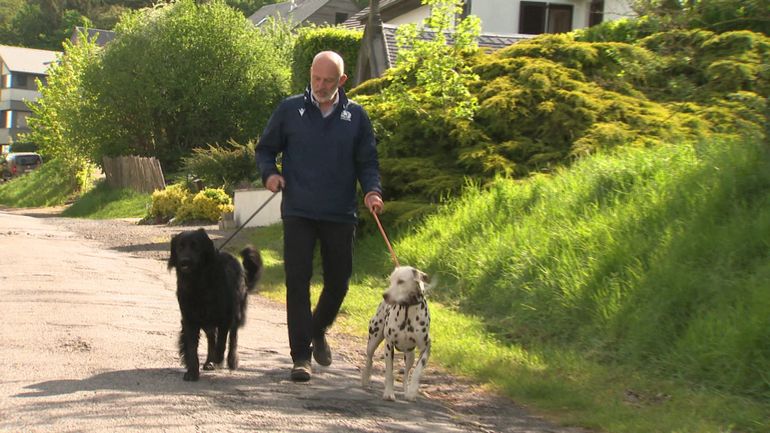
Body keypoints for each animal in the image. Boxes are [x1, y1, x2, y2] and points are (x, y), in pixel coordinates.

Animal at [166, 228, 262, 380]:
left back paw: (231, 361)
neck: (198, 282)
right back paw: (209, 361)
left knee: (232, 337)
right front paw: (192, 372)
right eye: (180, 247)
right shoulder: (190, 318)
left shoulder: (224, 318)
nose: (184, 262)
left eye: (196, 246)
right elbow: (191, 346)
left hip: (236, 311)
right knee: (211, 338)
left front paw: (218, 359)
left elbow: (222, 342)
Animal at [358, 264, 428, 400]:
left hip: (410, 356)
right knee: (369, 359)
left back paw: (406, 390)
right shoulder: (389, 345)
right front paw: (389, 393)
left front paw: (412, 391)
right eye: (390, 281)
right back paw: (365, 379)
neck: (407, 313)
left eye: (401, 281)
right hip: (373, 339)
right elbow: (389, 372)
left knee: (406, 374)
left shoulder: (425, 348)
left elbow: (417, 371)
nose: (385, 295)